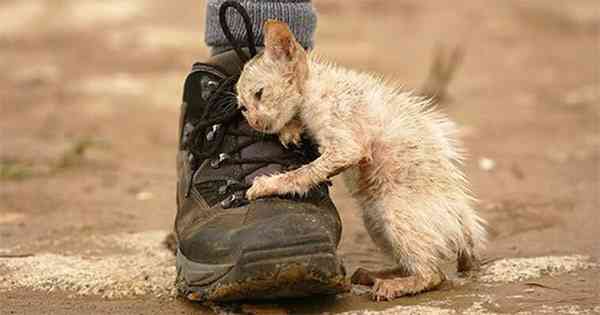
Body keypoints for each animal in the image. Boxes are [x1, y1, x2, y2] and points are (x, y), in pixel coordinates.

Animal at [237, 21, 486, 302]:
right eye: (243, 108)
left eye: (260, 93)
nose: (255, 123)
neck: (315, 87)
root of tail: (465, 227)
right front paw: (290, 130)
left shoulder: (346, 145)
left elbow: (305, 172)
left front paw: (267, 184)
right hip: (375, 220)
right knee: (418, 264)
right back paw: (374, 275)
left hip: (394, 212)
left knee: (433, 274)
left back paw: (394, 285)